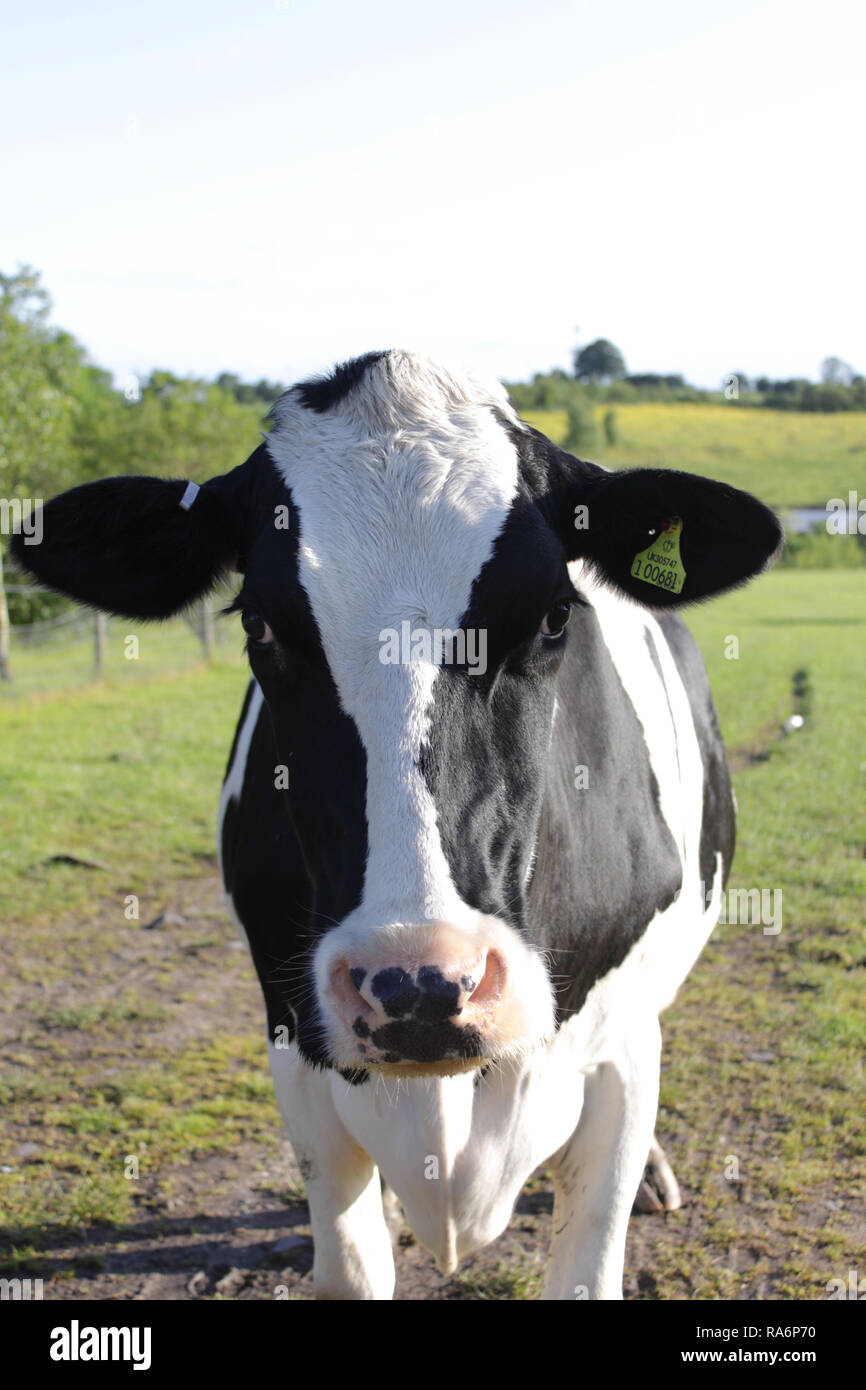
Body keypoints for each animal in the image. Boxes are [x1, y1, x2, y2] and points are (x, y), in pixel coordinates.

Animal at [12, 350, 783, 1299]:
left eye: (554, 615)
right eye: (261, 622)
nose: (419, 983)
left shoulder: (624, 1049)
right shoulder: (295, 1044)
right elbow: (350, 1263)